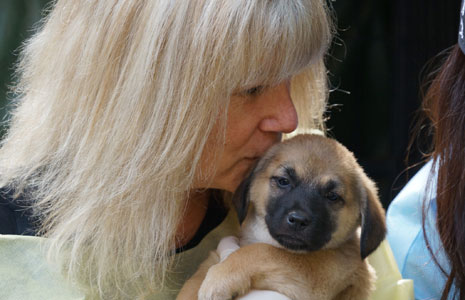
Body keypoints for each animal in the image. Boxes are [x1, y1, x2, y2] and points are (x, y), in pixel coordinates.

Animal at [178, 135, 384, 300]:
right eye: (283, 181)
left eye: (332, 196)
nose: (298, 220)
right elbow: (194, 281)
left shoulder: (319, 275)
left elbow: (261, 251)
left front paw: (221, 276)